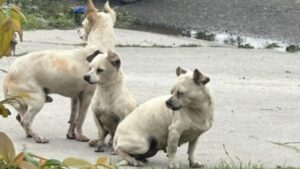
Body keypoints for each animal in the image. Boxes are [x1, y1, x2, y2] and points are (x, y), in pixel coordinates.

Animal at [2, 0, 117, 143]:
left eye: (82, 24)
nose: (77, 30)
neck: (98, 47)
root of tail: (9, 74)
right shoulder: (86, 97)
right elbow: (81, 118)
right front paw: (80, 136)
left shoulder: (75, 98)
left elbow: (73, 118)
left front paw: (71, 135)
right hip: (38, 99)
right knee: (25, 121)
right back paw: (38, 137)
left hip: (25, 103)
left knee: (21, 118)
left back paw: (30, 134)